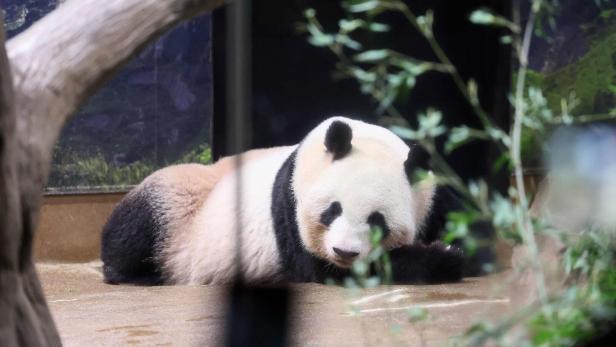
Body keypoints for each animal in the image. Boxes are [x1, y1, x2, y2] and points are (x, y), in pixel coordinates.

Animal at [102, 117, 476, 286]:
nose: (344, 252)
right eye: (332, 210)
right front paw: (443, 257)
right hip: (179, 202)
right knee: (133, 228)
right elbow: (325, 269)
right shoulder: (291, 203)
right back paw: (133, 273)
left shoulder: (430, 193)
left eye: (377, 221)